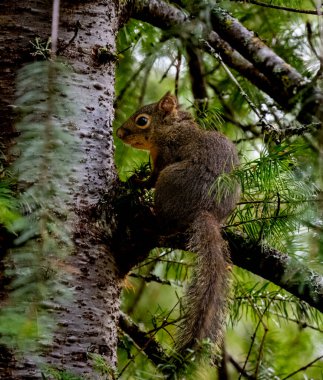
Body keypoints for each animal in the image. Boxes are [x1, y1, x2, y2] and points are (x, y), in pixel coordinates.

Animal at [116, 92, 240, 356]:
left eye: (142, 120)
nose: (119, 133)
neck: (171, 129)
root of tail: (206, 211)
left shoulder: (165, 157)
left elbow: (150, 180)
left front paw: (136, 182)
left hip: (170, 178)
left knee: (164, 224)